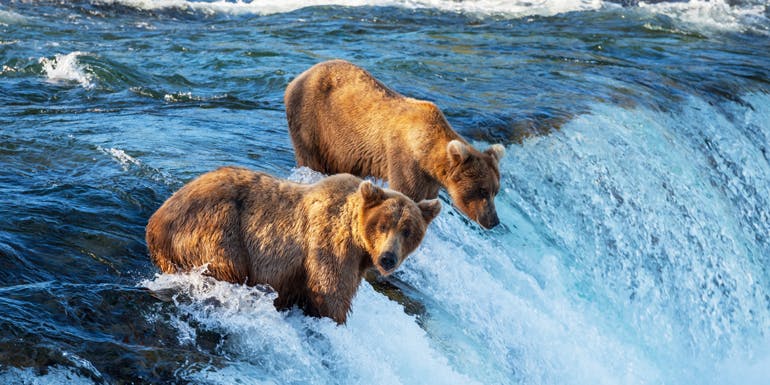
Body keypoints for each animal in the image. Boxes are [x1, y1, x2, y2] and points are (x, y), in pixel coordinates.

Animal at [144, 166, 438, 324]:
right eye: (383, 225)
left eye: (408, 231)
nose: (388, 258)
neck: (359, 243)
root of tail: (154, 223)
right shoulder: (329, 245)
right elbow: (330, 293)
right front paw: (335, 318)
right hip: (216, 228)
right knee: (227, 265)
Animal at [282, 59, 504, 228]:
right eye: (482, 190)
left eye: (495, 191)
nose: (493, 221)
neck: (425, 153)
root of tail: (297, 78)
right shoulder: (405, 160)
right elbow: (407, 192)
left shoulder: (429, 180)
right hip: (313, 122)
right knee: (311, 158)